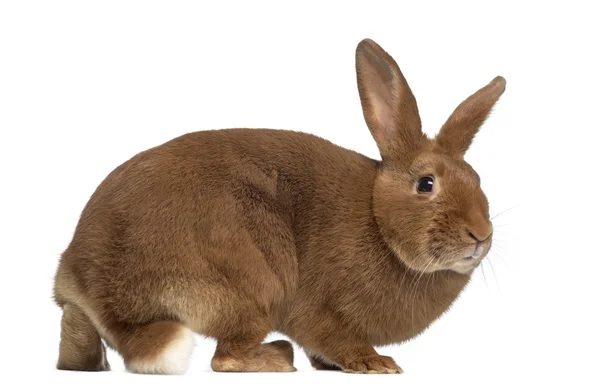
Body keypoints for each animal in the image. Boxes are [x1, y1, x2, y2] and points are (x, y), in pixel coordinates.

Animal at [52, 38, 506, 376]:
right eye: (426, 184)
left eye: (478, 181)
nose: (481, 235)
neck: (379, 222)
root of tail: (94, 287)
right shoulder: (316, 307)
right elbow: (328, 334)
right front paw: (375, 363)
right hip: (255, 284)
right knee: (226, 358)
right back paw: (278, 358)